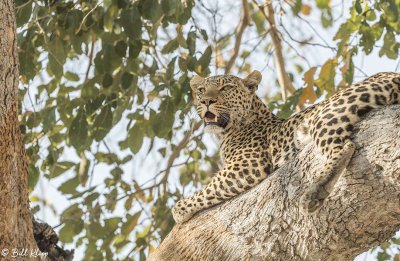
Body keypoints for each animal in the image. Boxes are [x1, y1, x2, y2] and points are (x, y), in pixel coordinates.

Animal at [171, 70, 400, 222]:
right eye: (201, 90)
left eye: (225, 88)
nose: (206, 101)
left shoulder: (249, 163)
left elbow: (210, 187)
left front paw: (180, 208)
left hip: (326, 114)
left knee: (344, 147)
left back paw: (314, 193)